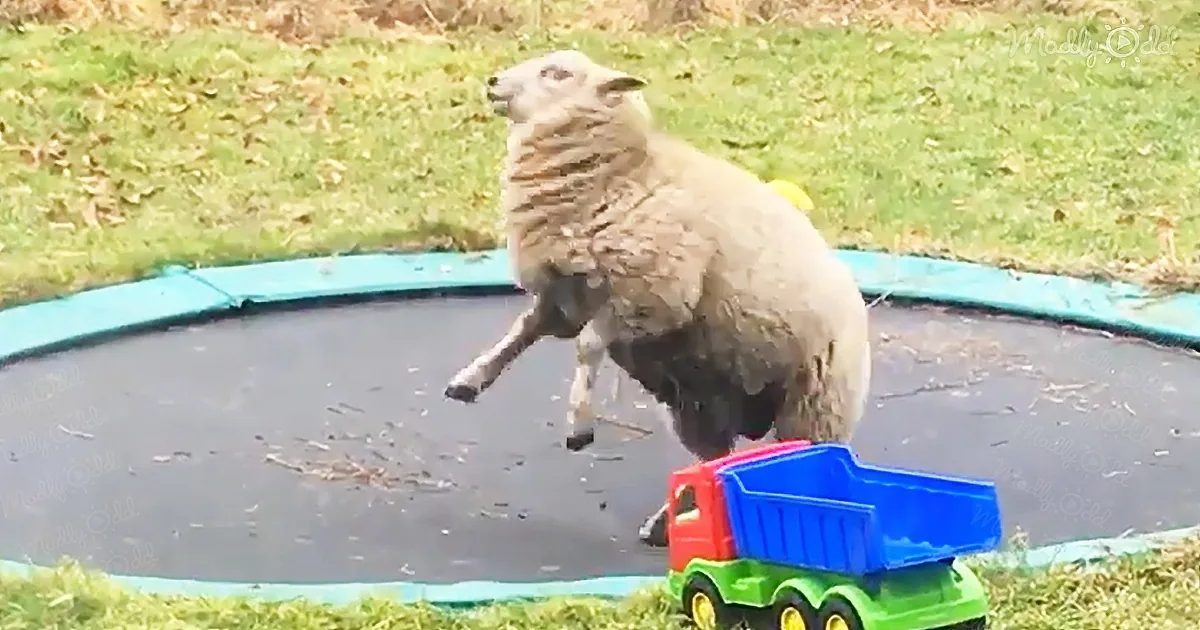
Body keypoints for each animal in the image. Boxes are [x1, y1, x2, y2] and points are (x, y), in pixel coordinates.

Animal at [443, 49, 872, 547]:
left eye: (558, 73)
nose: (493, 82)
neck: (621, 174)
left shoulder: (652, 296)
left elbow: (587, 346)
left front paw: (579, 427)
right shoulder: (568, 296)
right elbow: (523, 332)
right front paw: (470, 380)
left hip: (814, 408)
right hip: (702, 404)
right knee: (714, 463)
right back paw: (666, 524)